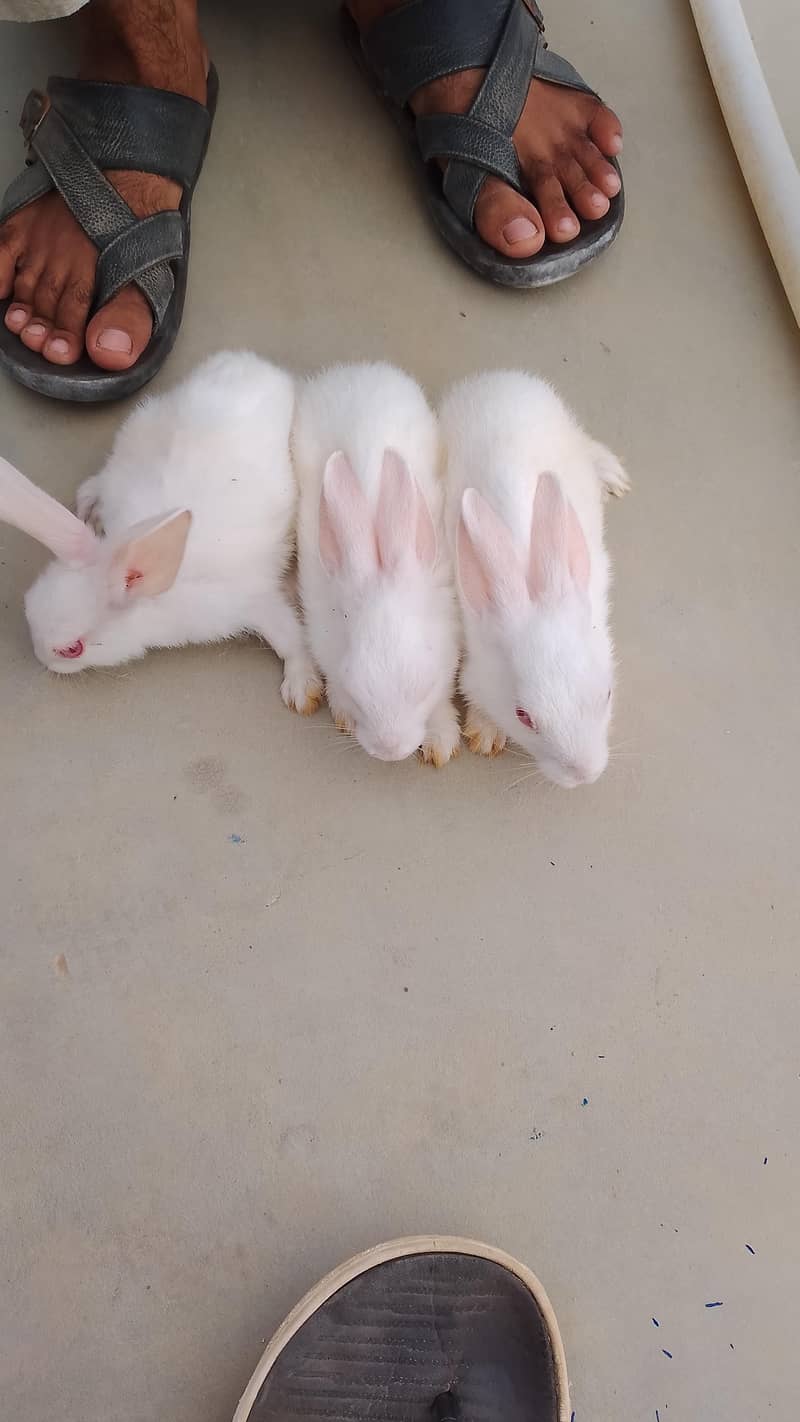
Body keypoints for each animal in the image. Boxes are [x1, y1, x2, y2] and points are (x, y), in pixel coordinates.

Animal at [1, 350, 322, 714]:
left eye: (72, 649)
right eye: (27, 606)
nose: (41, 658)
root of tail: (246, 361)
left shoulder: (249, 600)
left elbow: (289, 636)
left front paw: (303, 689)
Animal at [293, 361, 461, 766]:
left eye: (423, 688)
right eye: (356, 691)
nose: (390, 750)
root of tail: (353, 370)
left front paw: (440, 741)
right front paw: (342, 715)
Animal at [439, 370, 629, 789]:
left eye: (608, 694)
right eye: (523, 716)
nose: (585, 774)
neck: (531, 587)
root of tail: (499, 379)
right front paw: (486, 733)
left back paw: (613, 475)